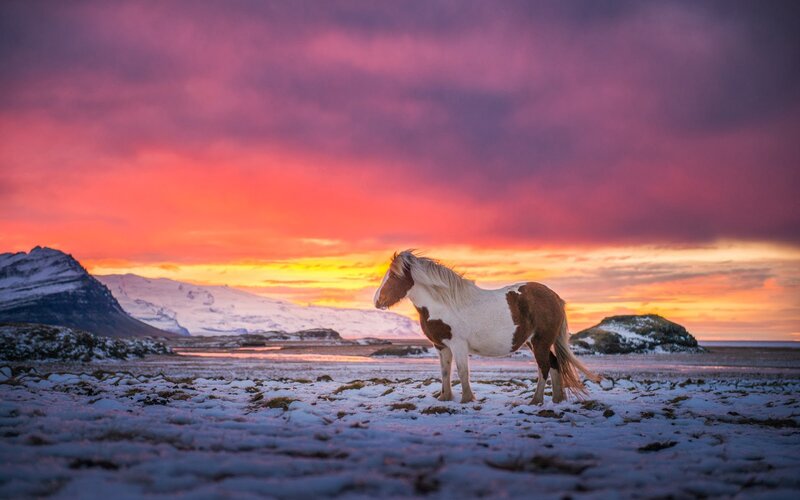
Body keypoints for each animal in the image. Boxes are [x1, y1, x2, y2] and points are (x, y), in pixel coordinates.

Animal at [374, 250, 600, 404]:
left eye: (393, 276)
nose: (377, 300)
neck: (444, 304)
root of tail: (553, 296)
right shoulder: (442, 346)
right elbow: (445, 371)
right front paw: (445, 398)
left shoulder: (458, 345)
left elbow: (462, 371)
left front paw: (466, 399)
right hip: (535, 343)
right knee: (554, 364)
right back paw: (557, 400)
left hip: (540, 342)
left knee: (544, 367)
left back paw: (536, 401)